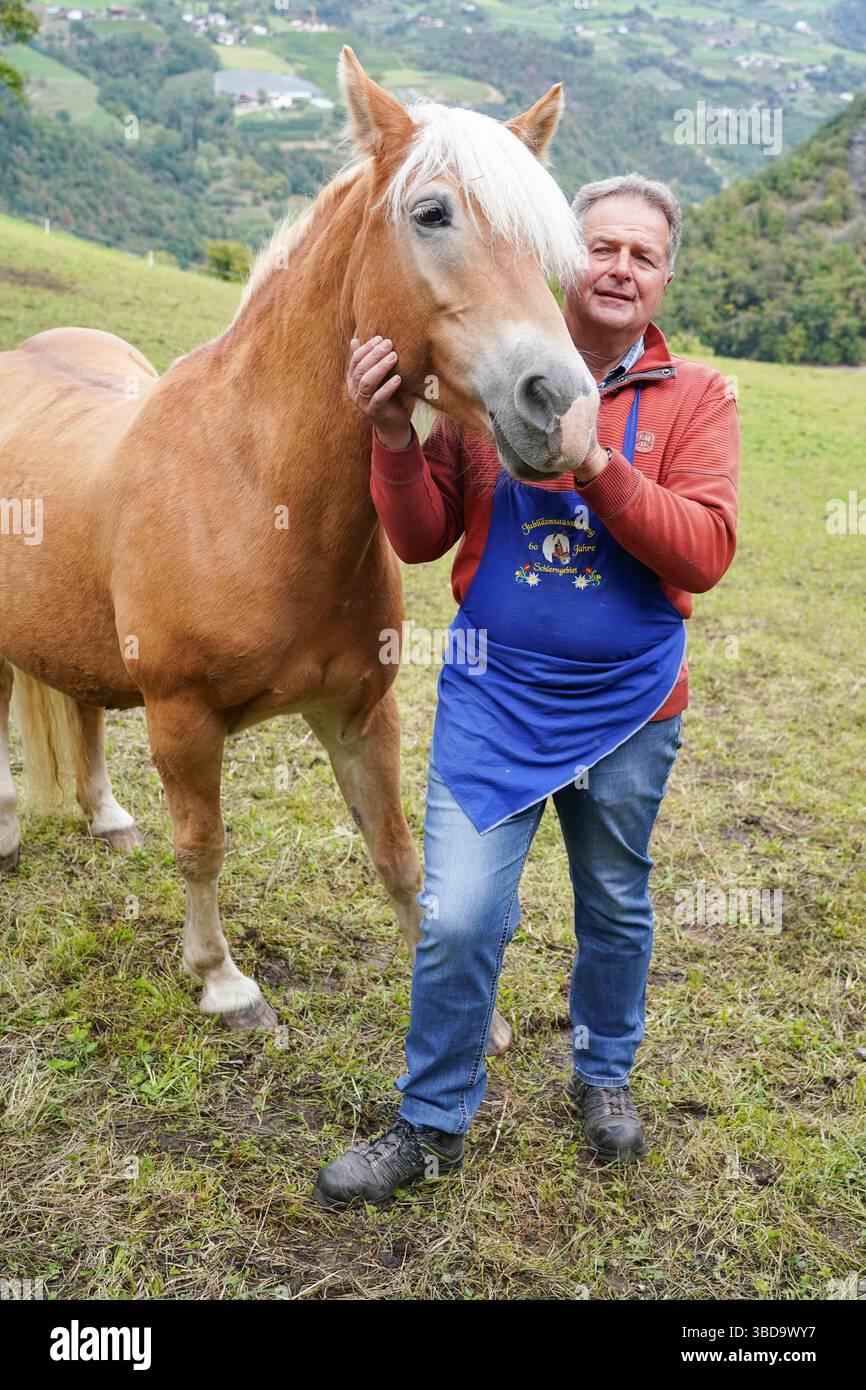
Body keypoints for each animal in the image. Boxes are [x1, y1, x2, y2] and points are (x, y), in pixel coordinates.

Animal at [0, 49, 598, 1049]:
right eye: (431, 213)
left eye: (547, 244)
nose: (562, 405)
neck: (256, 493)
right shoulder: (182, 719)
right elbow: (202, 849)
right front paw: (223, 983)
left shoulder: (361, 715)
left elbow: (398, 855)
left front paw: (466, 1017)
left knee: (77, 709)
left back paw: (107, 816)